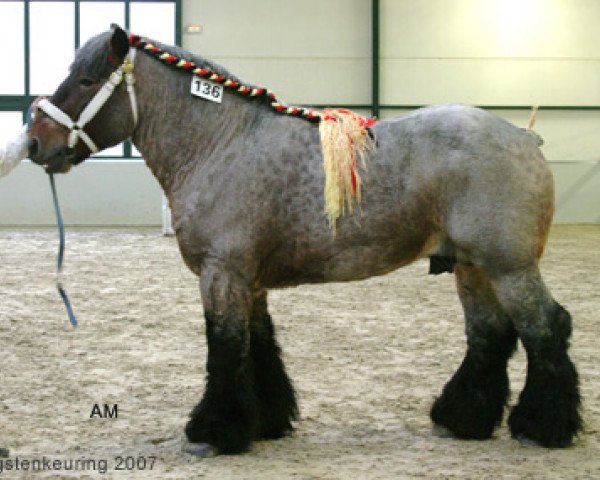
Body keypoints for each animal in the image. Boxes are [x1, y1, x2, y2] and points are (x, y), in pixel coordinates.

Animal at [28, 26, 580, 454]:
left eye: (86, 80)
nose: (36, 142)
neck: (222, 142)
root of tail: (525, 137)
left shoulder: (222, 273)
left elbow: (224, 348)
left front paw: (214, 431)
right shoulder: (248, 282)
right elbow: (258, 347)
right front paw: (265, 422)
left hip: (509, 267)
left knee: (544, 328)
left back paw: (543, 427)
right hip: (472, 266)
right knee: (490, 335)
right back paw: (463, 419)